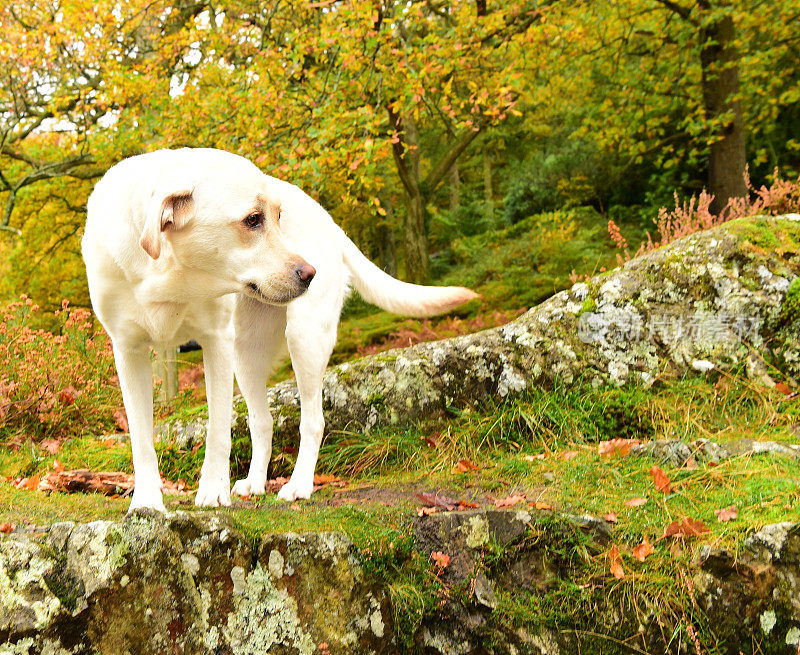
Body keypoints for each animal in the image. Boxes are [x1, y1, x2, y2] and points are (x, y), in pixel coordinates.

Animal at [84, 149, 478, 512]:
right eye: (253, 219)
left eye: (278, 216)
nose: (310, 273)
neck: (168, 276)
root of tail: (327, 217)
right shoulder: (128, 352)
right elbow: (141, 438)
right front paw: (147, 502)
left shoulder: (216, 341)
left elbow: (217, 430)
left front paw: (212, 493)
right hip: (246, 355)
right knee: (263, 421)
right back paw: (256, 483)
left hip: (303, 339)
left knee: (313, 421)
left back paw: (299, 485)